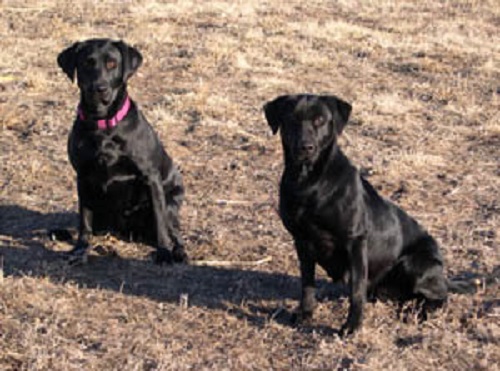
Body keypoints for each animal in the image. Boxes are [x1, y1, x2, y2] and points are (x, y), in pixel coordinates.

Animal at [58, 38, 188, 264]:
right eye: (86, 63)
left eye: (112, 64)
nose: (99, 88)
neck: (103, 125)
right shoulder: (83, 177)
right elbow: (84, 220)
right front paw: (80, 250)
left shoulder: (150, 178)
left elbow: (159, 221)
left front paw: (164, 253)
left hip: (171, 203)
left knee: (175, 232)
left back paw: (178, 252)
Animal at [264, 94, 470, 336]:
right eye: (291, 119)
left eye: (320, 120)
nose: (306, 147)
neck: (308, 182)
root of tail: (442, 275)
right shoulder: (301, 241)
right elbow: (307, 284)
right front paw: (305, 313)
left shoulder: (355, 242)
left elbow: (356, 290)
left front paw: (352, 326)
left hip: (414, 263)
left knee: (439, 297)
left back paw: (418, 312)